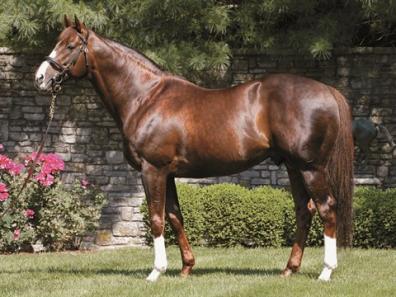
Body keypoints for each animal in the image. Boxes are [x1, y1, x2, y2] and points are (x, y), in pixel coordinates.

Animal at [34, 17, 352, 280]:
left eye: (70, 45)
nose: (40, 78)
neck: (145, 97)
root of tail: (327, 90)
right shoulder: (169, 174)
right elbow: (175, 217)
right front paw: (186, 267)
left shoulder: (152, 170)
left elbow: (157, 218)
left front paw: (156, 272)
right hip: (293, 167)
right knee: (304, 210)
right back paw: (289, 269)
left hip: (310, 168)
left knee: (326, 208)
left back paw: (326, 272)